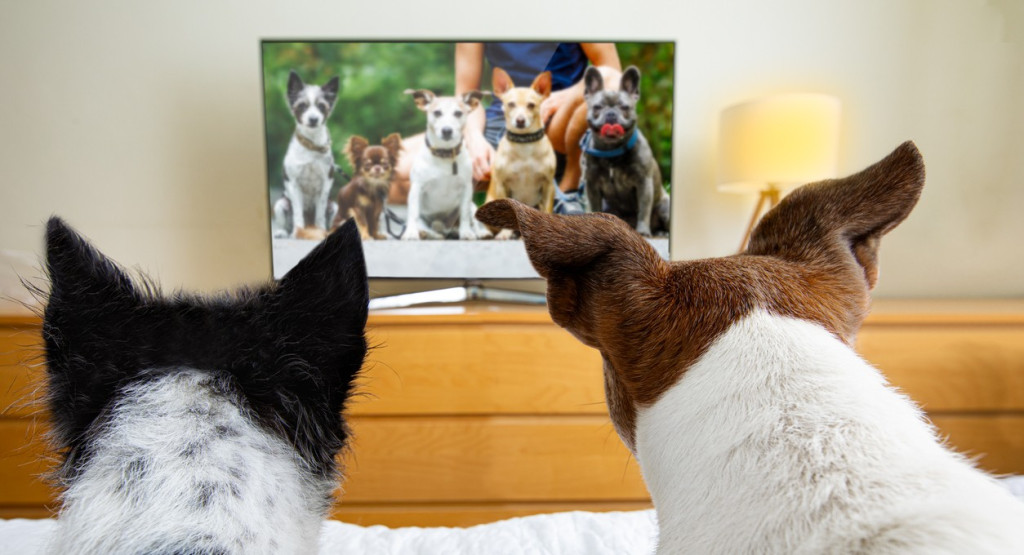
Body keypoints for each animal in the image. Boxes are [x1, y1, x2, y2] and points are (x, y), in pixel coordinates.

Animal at [274, 70, 342, 240]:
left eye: (321, 106)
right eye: (302, 106)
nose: (313, 119)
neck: (312, 146)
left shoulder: (326, 183)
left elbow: (320, 213)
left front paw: (321, 229)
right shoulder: (293, 183)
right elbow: (298, 212)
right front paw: (297, 231)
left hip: (335, 206)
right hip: (280, 204)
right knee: (284, 223)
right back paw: (283, 232)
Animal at [483, 67, 557, 239]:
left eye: (531, 105)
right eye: (510, 104)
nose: (520, 120)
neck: (525, 145)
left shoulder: (548, 185)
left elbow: (547, 210)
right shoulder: (502, 185)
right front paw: (504, 234)